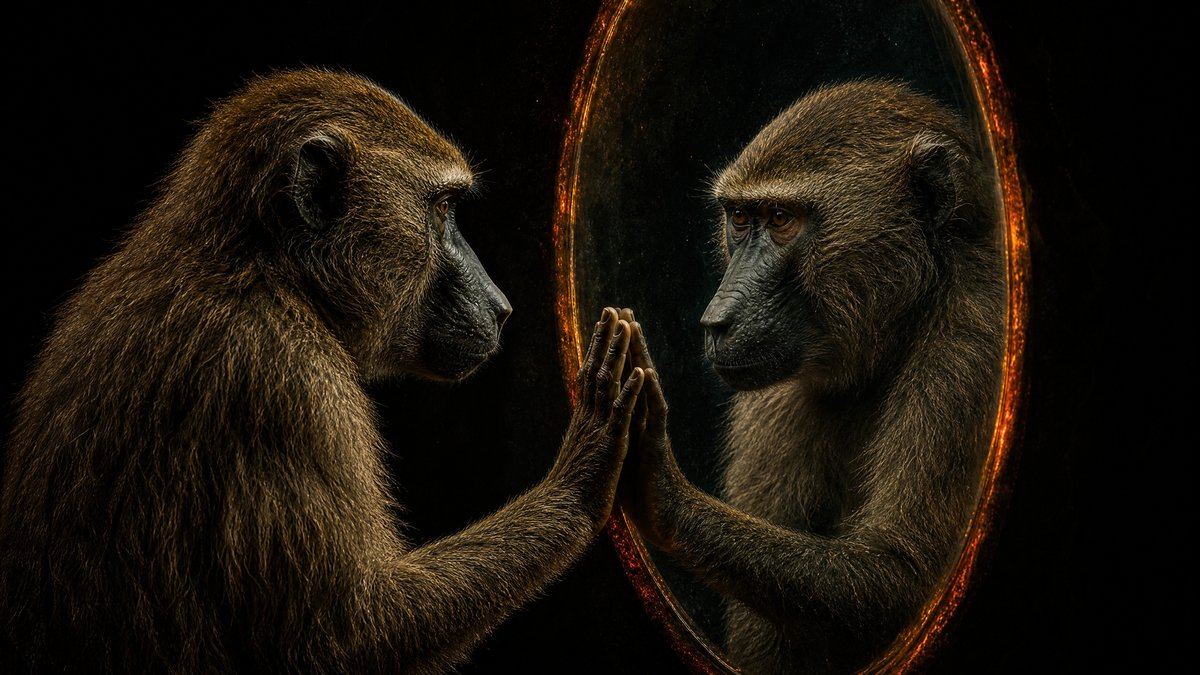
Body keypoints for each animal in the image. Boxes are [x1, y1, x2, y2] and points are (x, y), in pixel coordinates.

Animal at [0, 67, 647, 675]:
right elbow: (348, 643)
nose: (501, 306)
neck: (265, 268)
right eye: (442, 209)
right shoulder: (289, 385)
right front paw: (583, 477)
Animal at [618, 80, 1005, 674]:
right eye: (740, 219)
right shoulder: (775, 394)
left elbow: (893, 581)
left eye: (781, 219)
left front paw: (659, 486)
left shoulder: (969, 353)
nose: (716, 322)